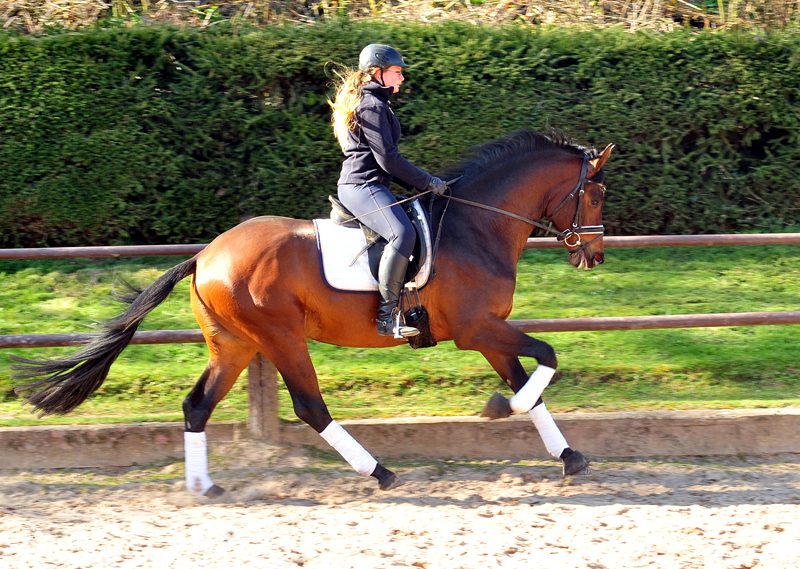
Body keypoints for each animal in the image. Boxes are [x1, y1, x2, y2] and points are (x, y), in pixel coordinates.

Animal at [10, 130, 612, 496]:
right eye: (599, 193)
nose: (594, 256)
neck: (477, 225)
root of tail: (205, 254)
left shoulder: (487, 331)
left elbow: (529, 380)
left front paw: (567, 454)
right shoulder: (476, 328)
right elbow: (546, 358)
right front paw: (500, 408)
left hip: (235, 344)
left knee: (197, 405)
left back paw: (204, 488)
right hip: (279, 337)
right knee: (309, 406)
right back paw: (380, 472)